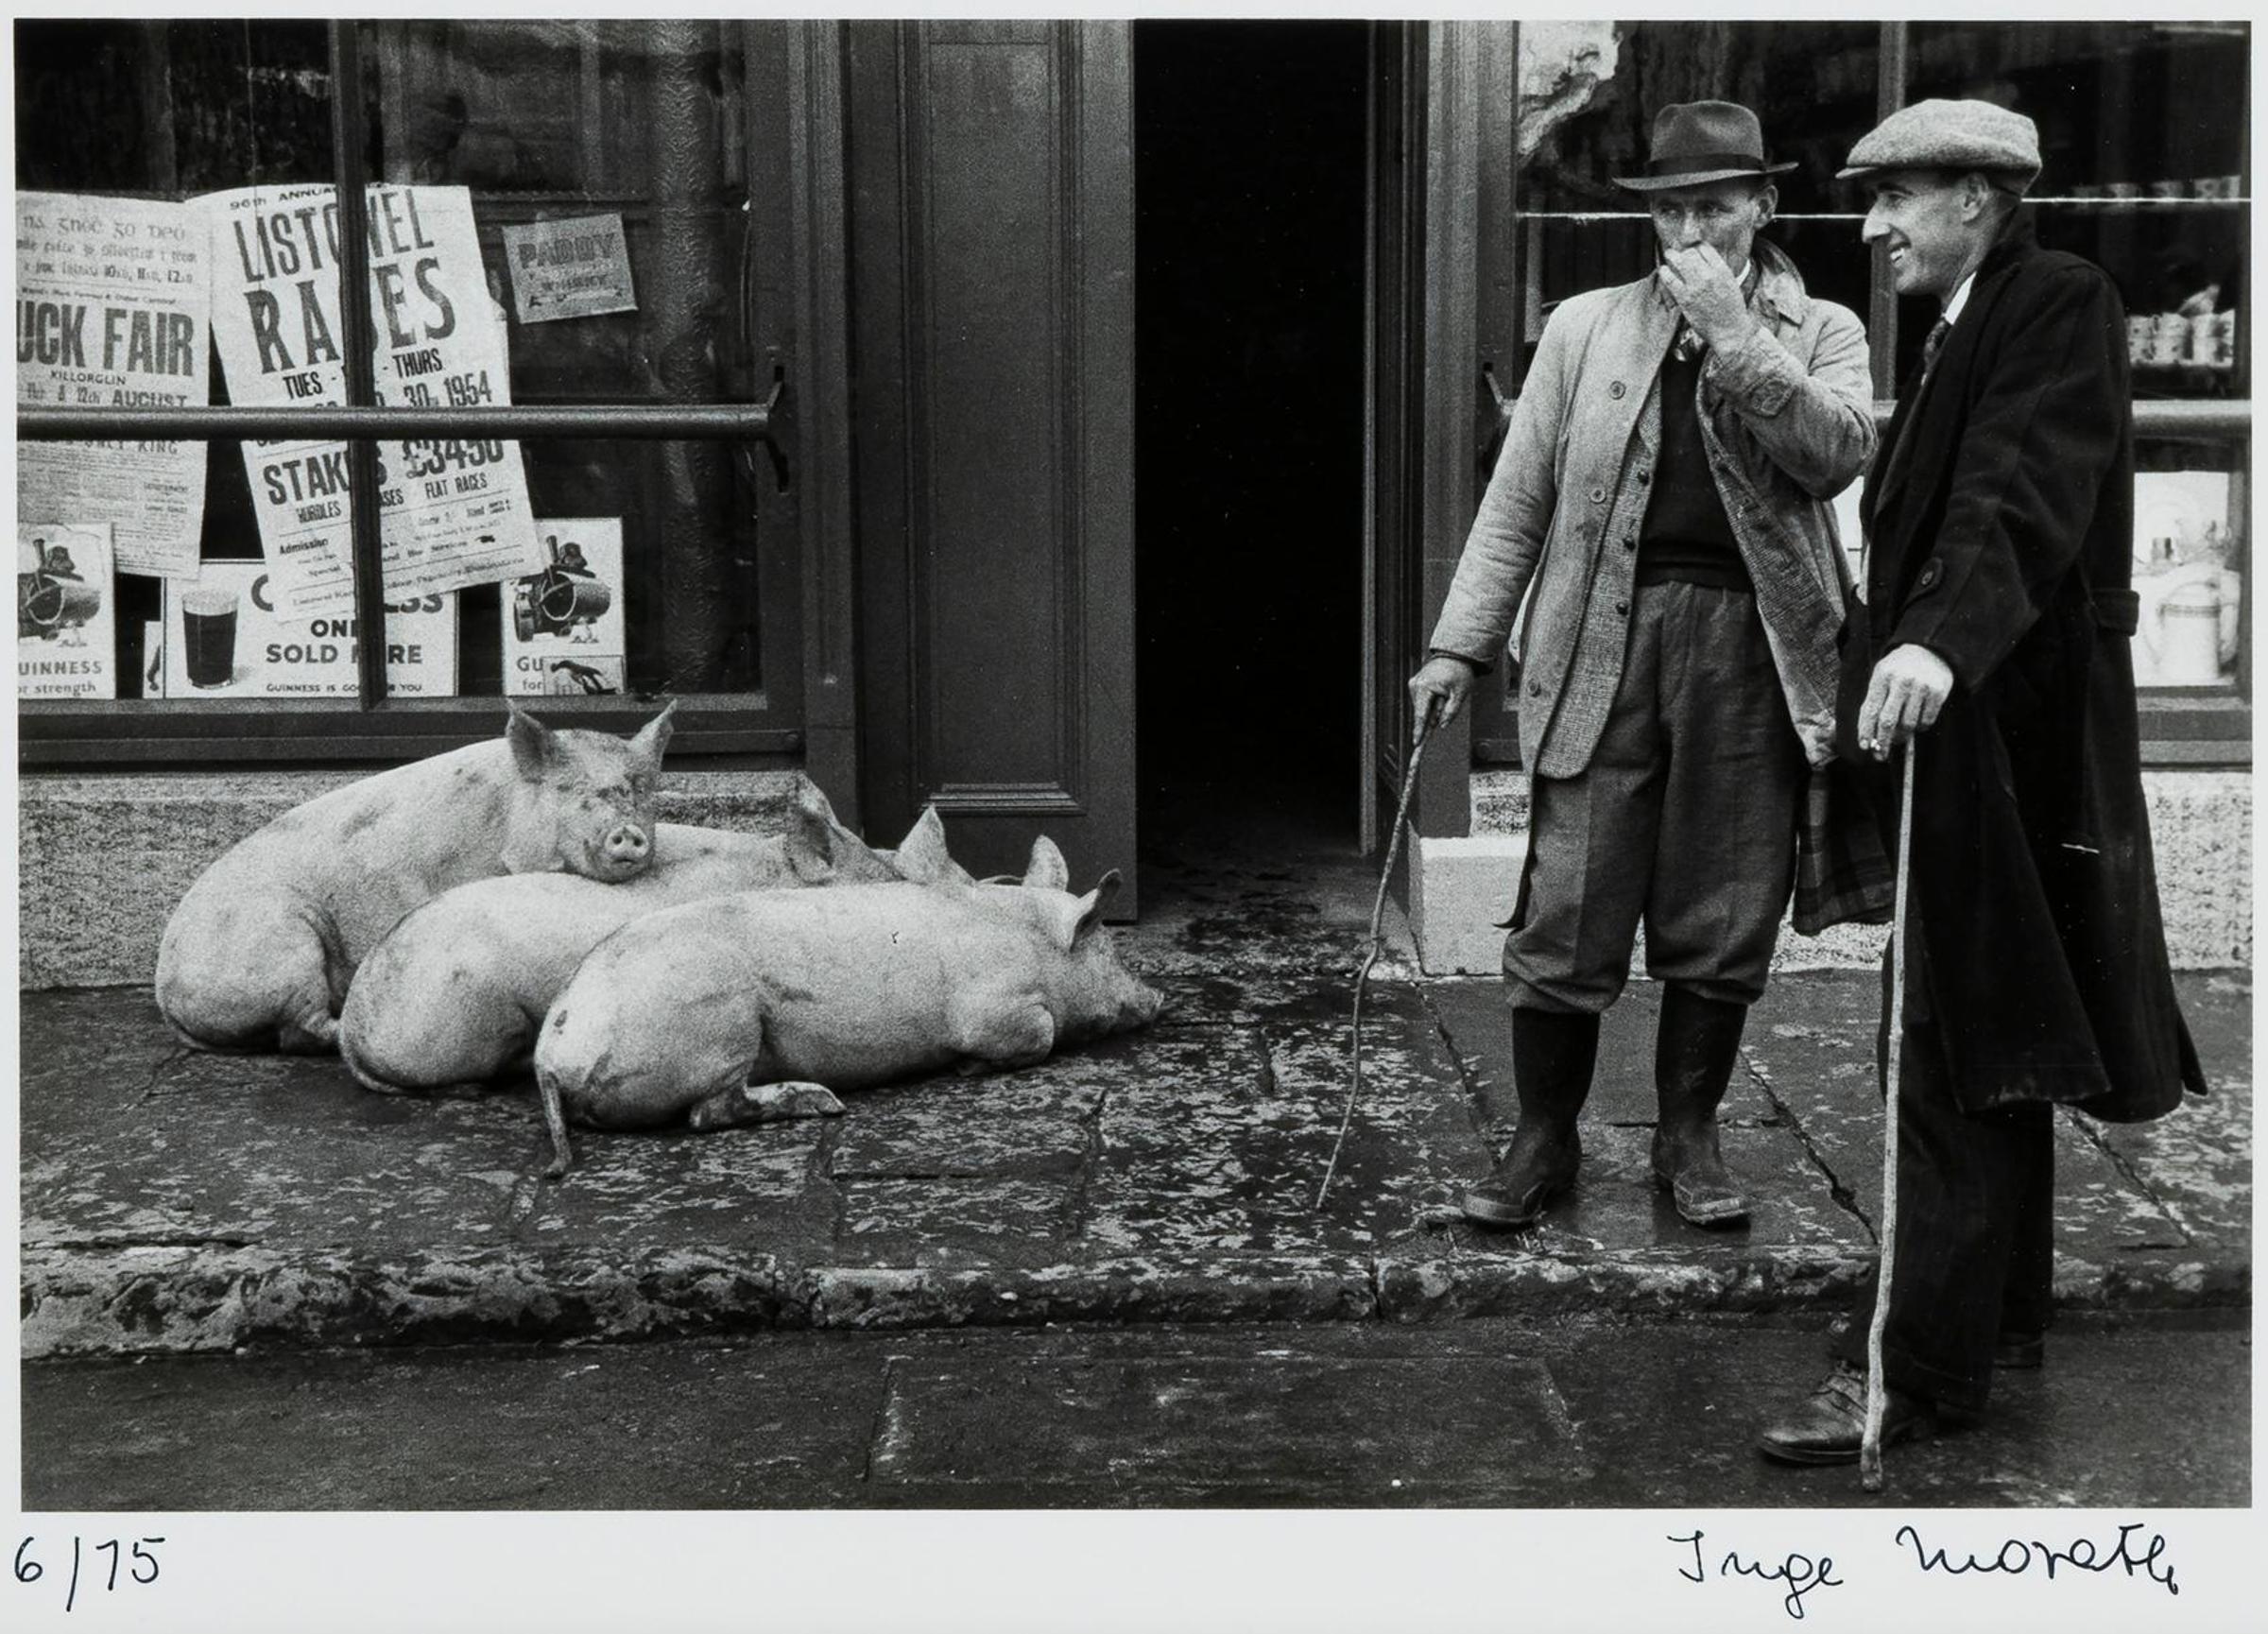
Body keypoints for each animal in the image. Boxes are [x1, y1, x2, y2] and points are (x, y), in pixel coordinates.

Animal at [155, 694, 671, 1053]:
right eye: (568, 788)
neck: (503, 828)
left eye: (641, 787)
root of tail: (167, 991)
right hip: (278, 949)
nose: (625, 832)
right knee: (301, 1029)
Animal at [537, 830, 1160, 1171]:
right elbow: (1039, 1035)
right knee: (708, 1112)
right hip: (721, 1029)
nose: (1158, 998)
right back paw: (825, 1103)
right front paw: (965, 1069)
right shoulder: (995, 1011)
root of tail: (553, 1053)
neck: (1035, 943)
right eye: (1105, 949)